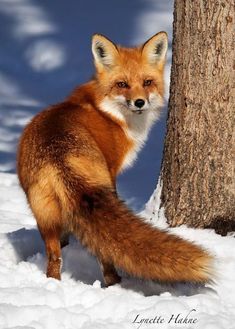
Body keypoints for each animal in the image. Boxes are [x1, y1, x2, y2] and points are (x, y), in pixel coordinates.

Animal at [17, 32, 214, 286]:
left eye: (147, 82)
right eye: (122, 84)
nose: (139, 102)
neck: (107, 112)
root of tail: (60, 158)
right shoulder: (112, 170)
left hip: (43, 215)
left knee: (54, 259)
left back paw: (53, 284)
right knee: (104, 251)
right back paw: (114, 282)